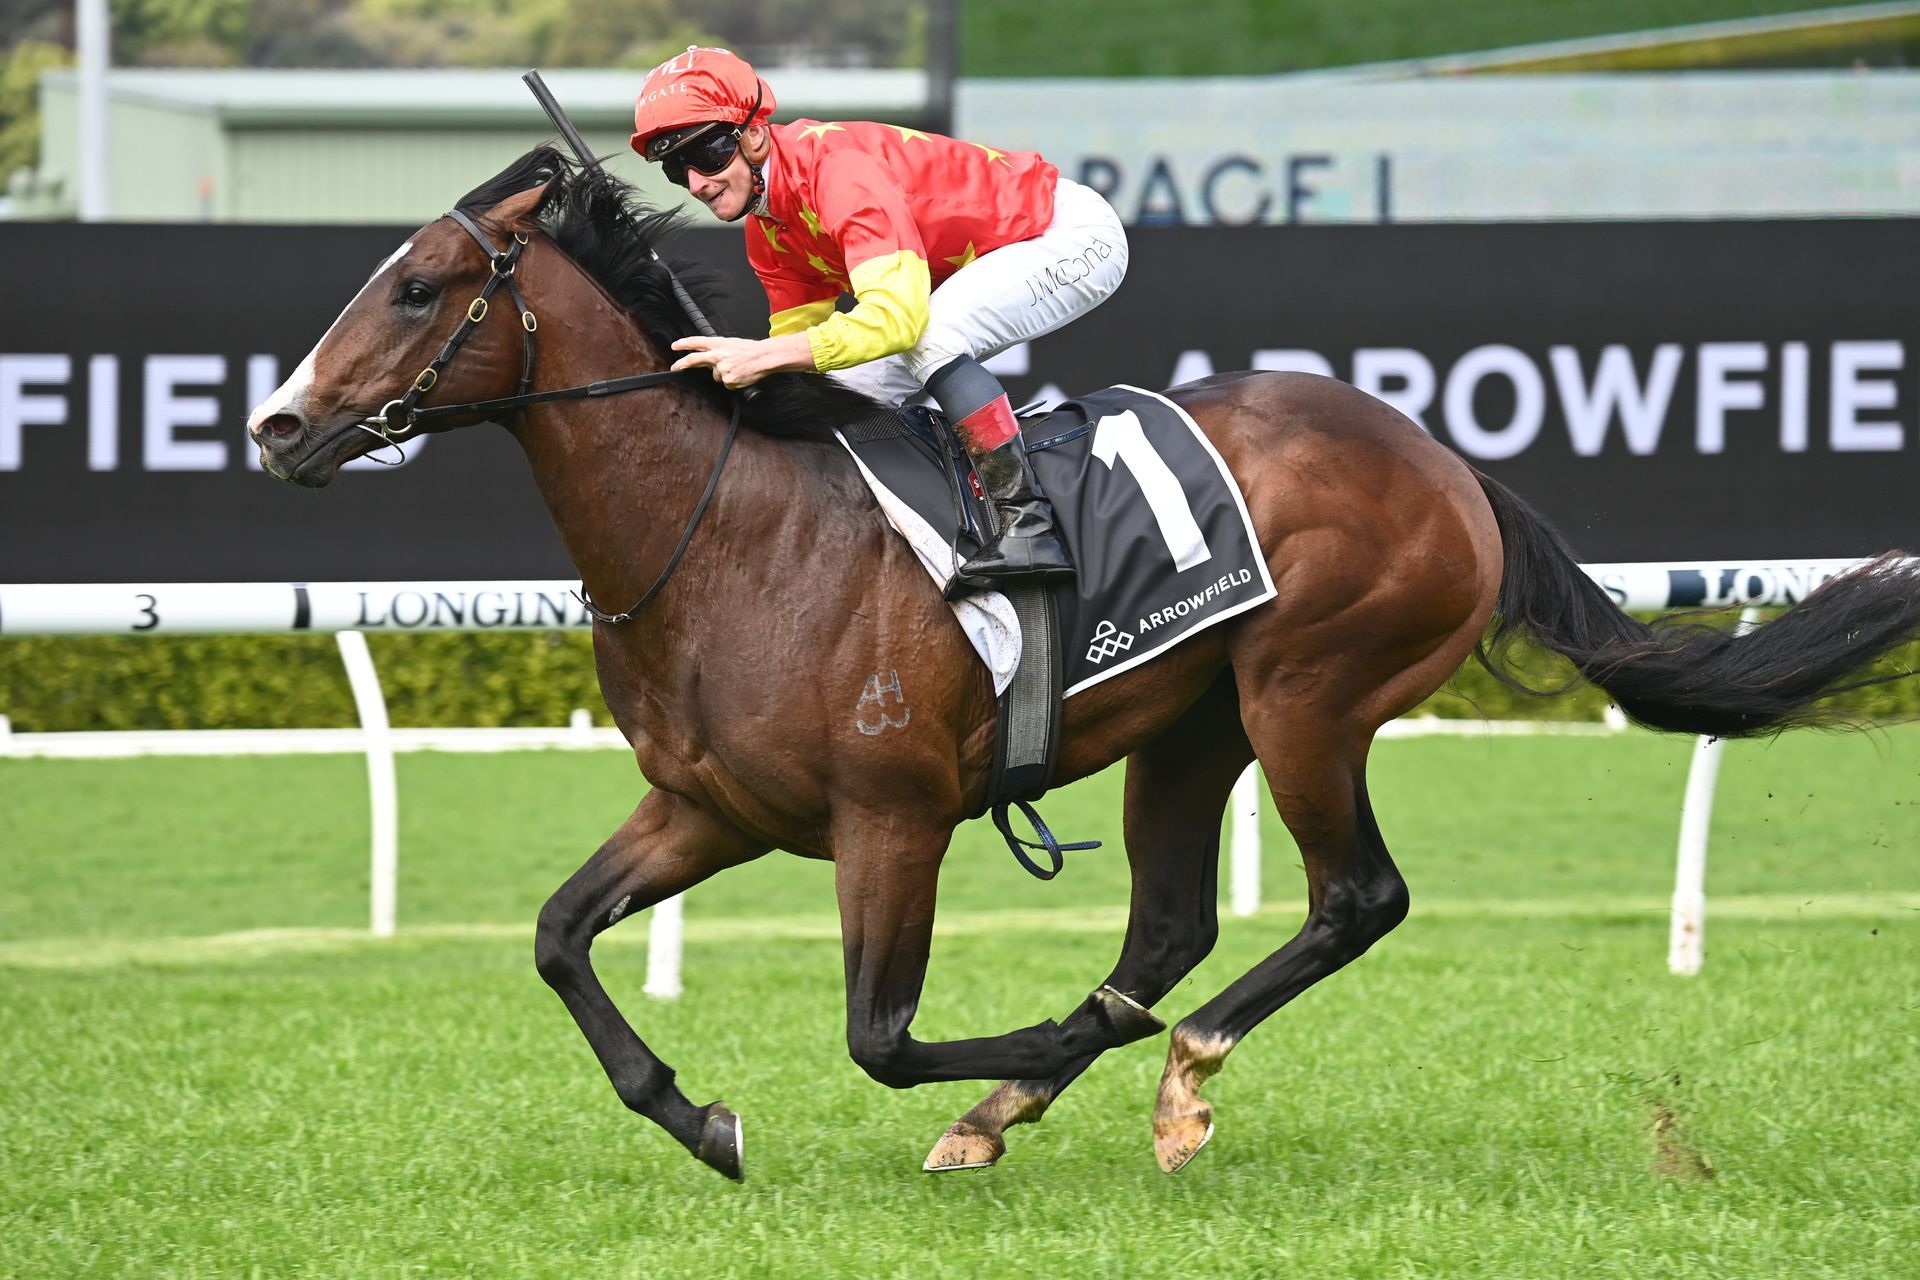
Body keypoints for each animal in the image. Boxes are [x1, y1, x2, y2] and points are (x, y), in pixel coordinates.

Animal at [247, 148, 1920, 1181]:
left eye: (415, 286)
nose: (274, 422)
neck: (732, 537)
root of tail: (1444, 460)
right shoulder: (710, 809)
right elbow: (556, 937)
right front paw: (701, 1117)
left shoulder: (893, 819)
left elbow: (877, 1037)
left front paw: (1040, 1050)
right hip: (1194, 726)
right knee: (1175, 922)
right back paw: (1042, 1093)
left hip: (1308, 694)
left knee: (1351, 900)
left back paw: (1156, 1072)